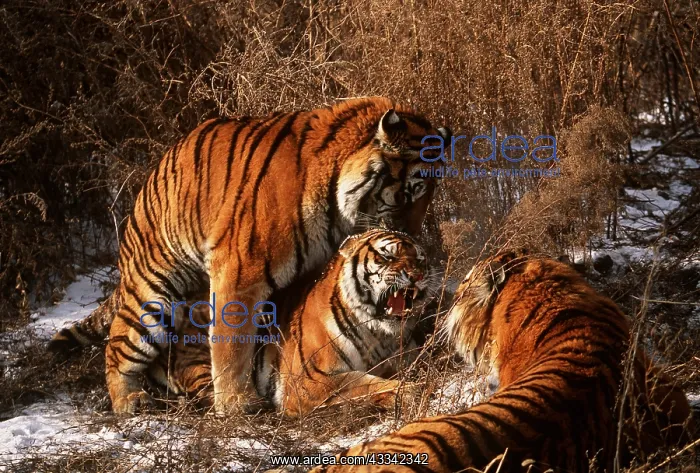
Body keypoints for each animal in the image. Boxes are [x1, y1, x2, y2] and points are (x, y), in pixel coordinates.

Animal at [146, 229, 433, 417]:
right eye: (388, 256)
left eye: (421, 258)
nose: (418, 275)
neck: (379, 334)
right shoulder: (310, 381)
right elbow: (364, 383)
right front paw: (411, 391)